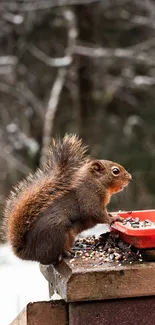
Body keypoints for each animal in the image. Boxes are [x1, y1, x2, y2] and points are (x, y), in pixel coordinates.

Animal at [3, 134, 131, 264]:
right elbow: (96, 213)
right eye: (115, 171)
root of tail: (28, 253)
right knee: (52, 257)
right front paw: (114, 219)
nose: (130, 178)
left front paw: (113, 216)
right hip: (58, 233)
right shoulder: (89, 198)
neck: (96, 183)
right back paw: (66, 253)